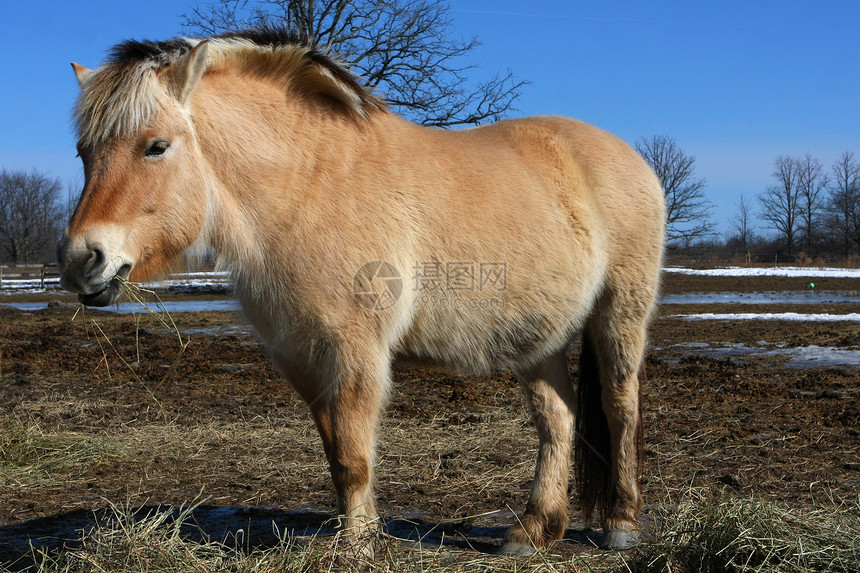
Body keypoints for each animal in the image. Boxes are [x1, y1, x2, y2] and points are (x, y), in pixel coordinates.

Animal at [58, 29, 664, 556]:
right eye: (84, 153)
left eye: (156, 146)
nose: (82, 261)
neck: (309, 185)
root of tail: (628, 156)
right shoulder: (300, 356)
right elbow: (336, 453)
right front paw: (363, 533)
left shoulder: (356, 350)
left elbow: (354, 454)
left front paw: (355, 546)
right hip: (538, 337)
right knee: (557, 421)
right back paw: (535, 529)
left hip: (619, 314)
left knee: (619, 409)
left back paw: (621, 525)